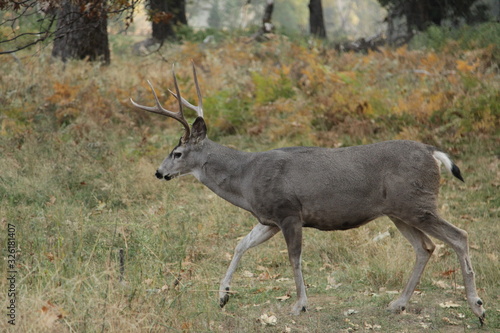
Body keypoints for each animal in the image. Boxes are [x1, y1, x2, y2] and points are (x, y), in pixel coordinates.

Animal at [131, 61, 486, 322]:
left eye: (177, 153)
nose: (159, 172)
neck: (246, 178)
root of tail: (432, 152)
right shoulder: (269, 219)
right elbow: (240, 244)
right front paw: (222, 296)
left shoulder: (289, 212)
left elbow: (294, 257)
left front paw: (299, 304)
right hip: (398, 212)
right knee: (425, 247)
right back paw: (398, 303)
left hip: (417, 203)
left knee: (459, 236)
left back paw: (477, 306)